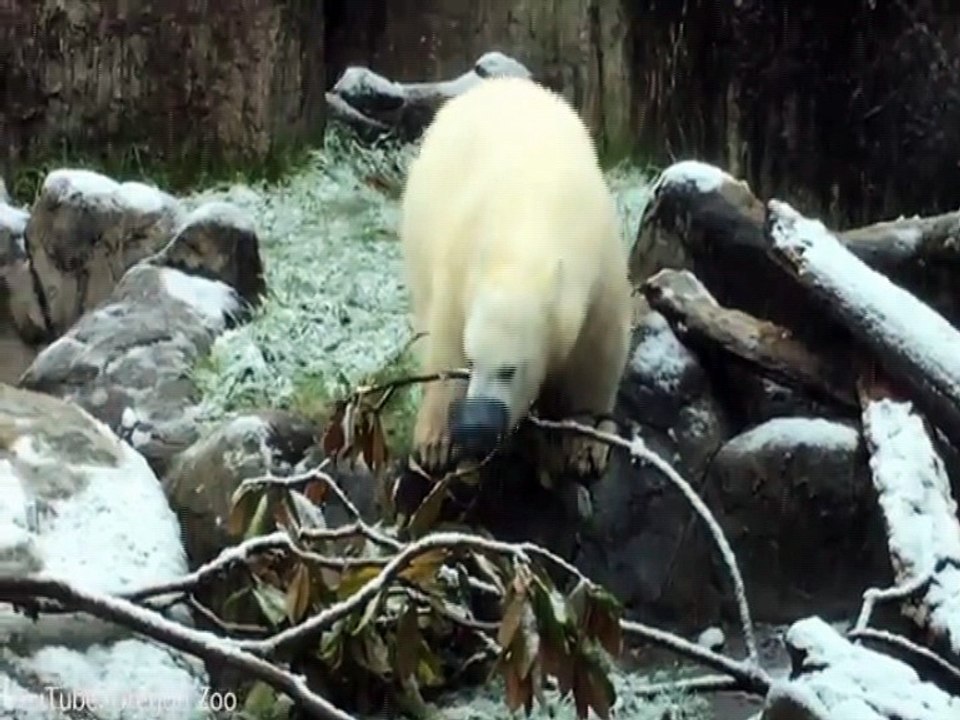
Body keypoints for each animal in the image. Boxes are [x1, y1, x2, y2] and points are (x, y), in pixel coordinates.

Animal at [398, 75, 632, 480]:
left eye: (510, 370)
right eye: (471, 362)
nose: (475, 425)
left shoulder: (600, 267)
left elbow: (599, 349)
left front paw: (587, 445)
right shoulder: (460, 264)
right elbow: (445, 339)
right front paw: (435, 443)